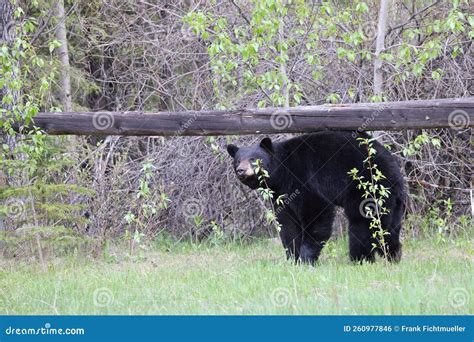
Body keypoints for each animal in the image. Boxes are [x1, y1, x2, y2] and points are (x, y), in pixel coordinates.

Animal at [228, 131, 406, 264]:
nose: (241, 170)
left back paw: (360, 258)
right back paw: (393, 255)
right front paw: (292, 257)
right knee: (390, 227)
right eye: (237, 160)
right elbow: (287, 224)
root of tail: (394, 169)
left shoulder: (303, 178)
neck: (282, 172)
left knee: (362, 223)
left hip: (365, 187)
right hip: (392, 199)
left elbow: (316, 212)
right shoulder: (281, 195)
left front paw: (305, 259)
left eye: (253, 159)